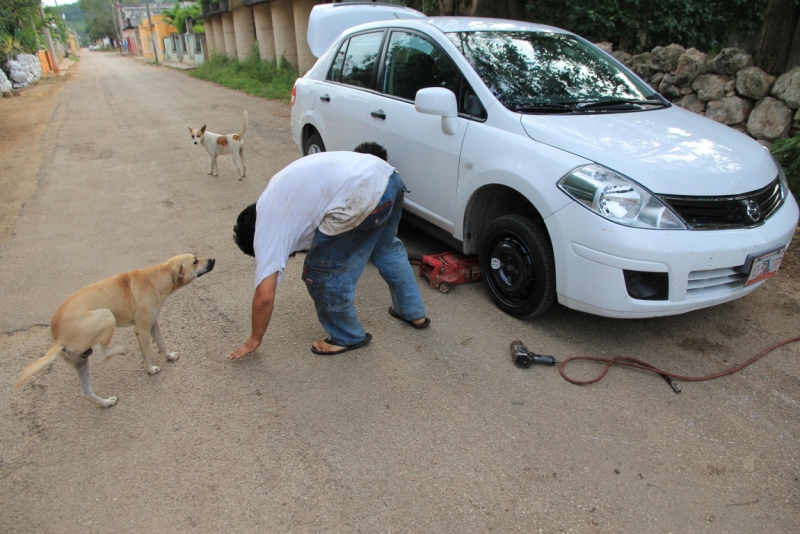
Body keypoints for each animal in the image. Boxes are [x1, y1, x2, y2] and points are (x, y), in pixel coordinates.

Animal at [15, 256, 216, 410]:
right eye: (195, 261)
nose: (213, 260)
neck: (157, 277)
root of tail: (57, 337)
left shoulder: (153, 325)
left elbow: (161, 342)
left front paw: (169, 356)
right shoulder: (142, 330)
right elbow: (148, 354)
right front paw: (150, 369)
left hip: (80, 361)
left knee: (86, 391)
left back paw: (105, 403)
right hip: (107, 316)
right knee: (104, 354)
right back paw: (121, 351)